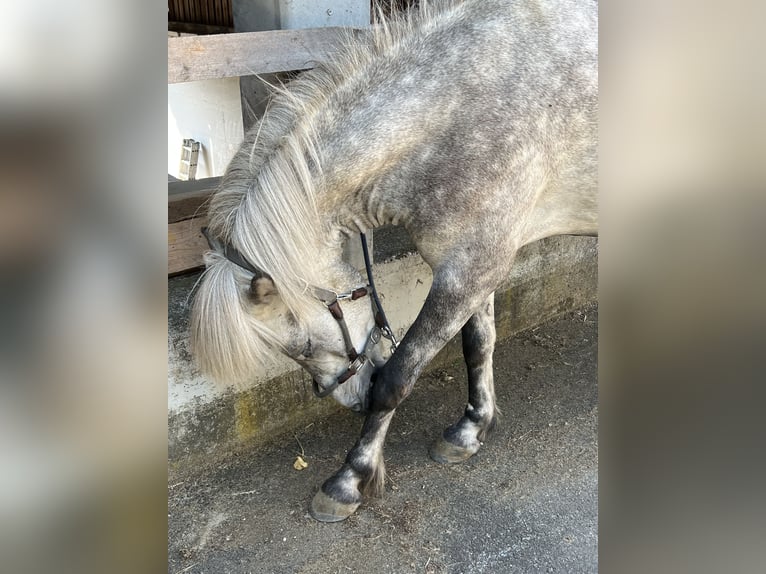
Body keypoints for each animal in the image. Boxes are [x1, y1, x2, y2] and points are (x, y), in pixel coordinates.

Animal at [192, 0, 600, 520]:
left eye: (302, 347)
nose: (351, 398)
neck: (463, 110)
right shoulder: (476, 263)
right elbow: (479, 346)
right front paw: (470, 430)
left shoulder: (469, 272)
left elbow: (397, 377)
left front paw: (348, 480)